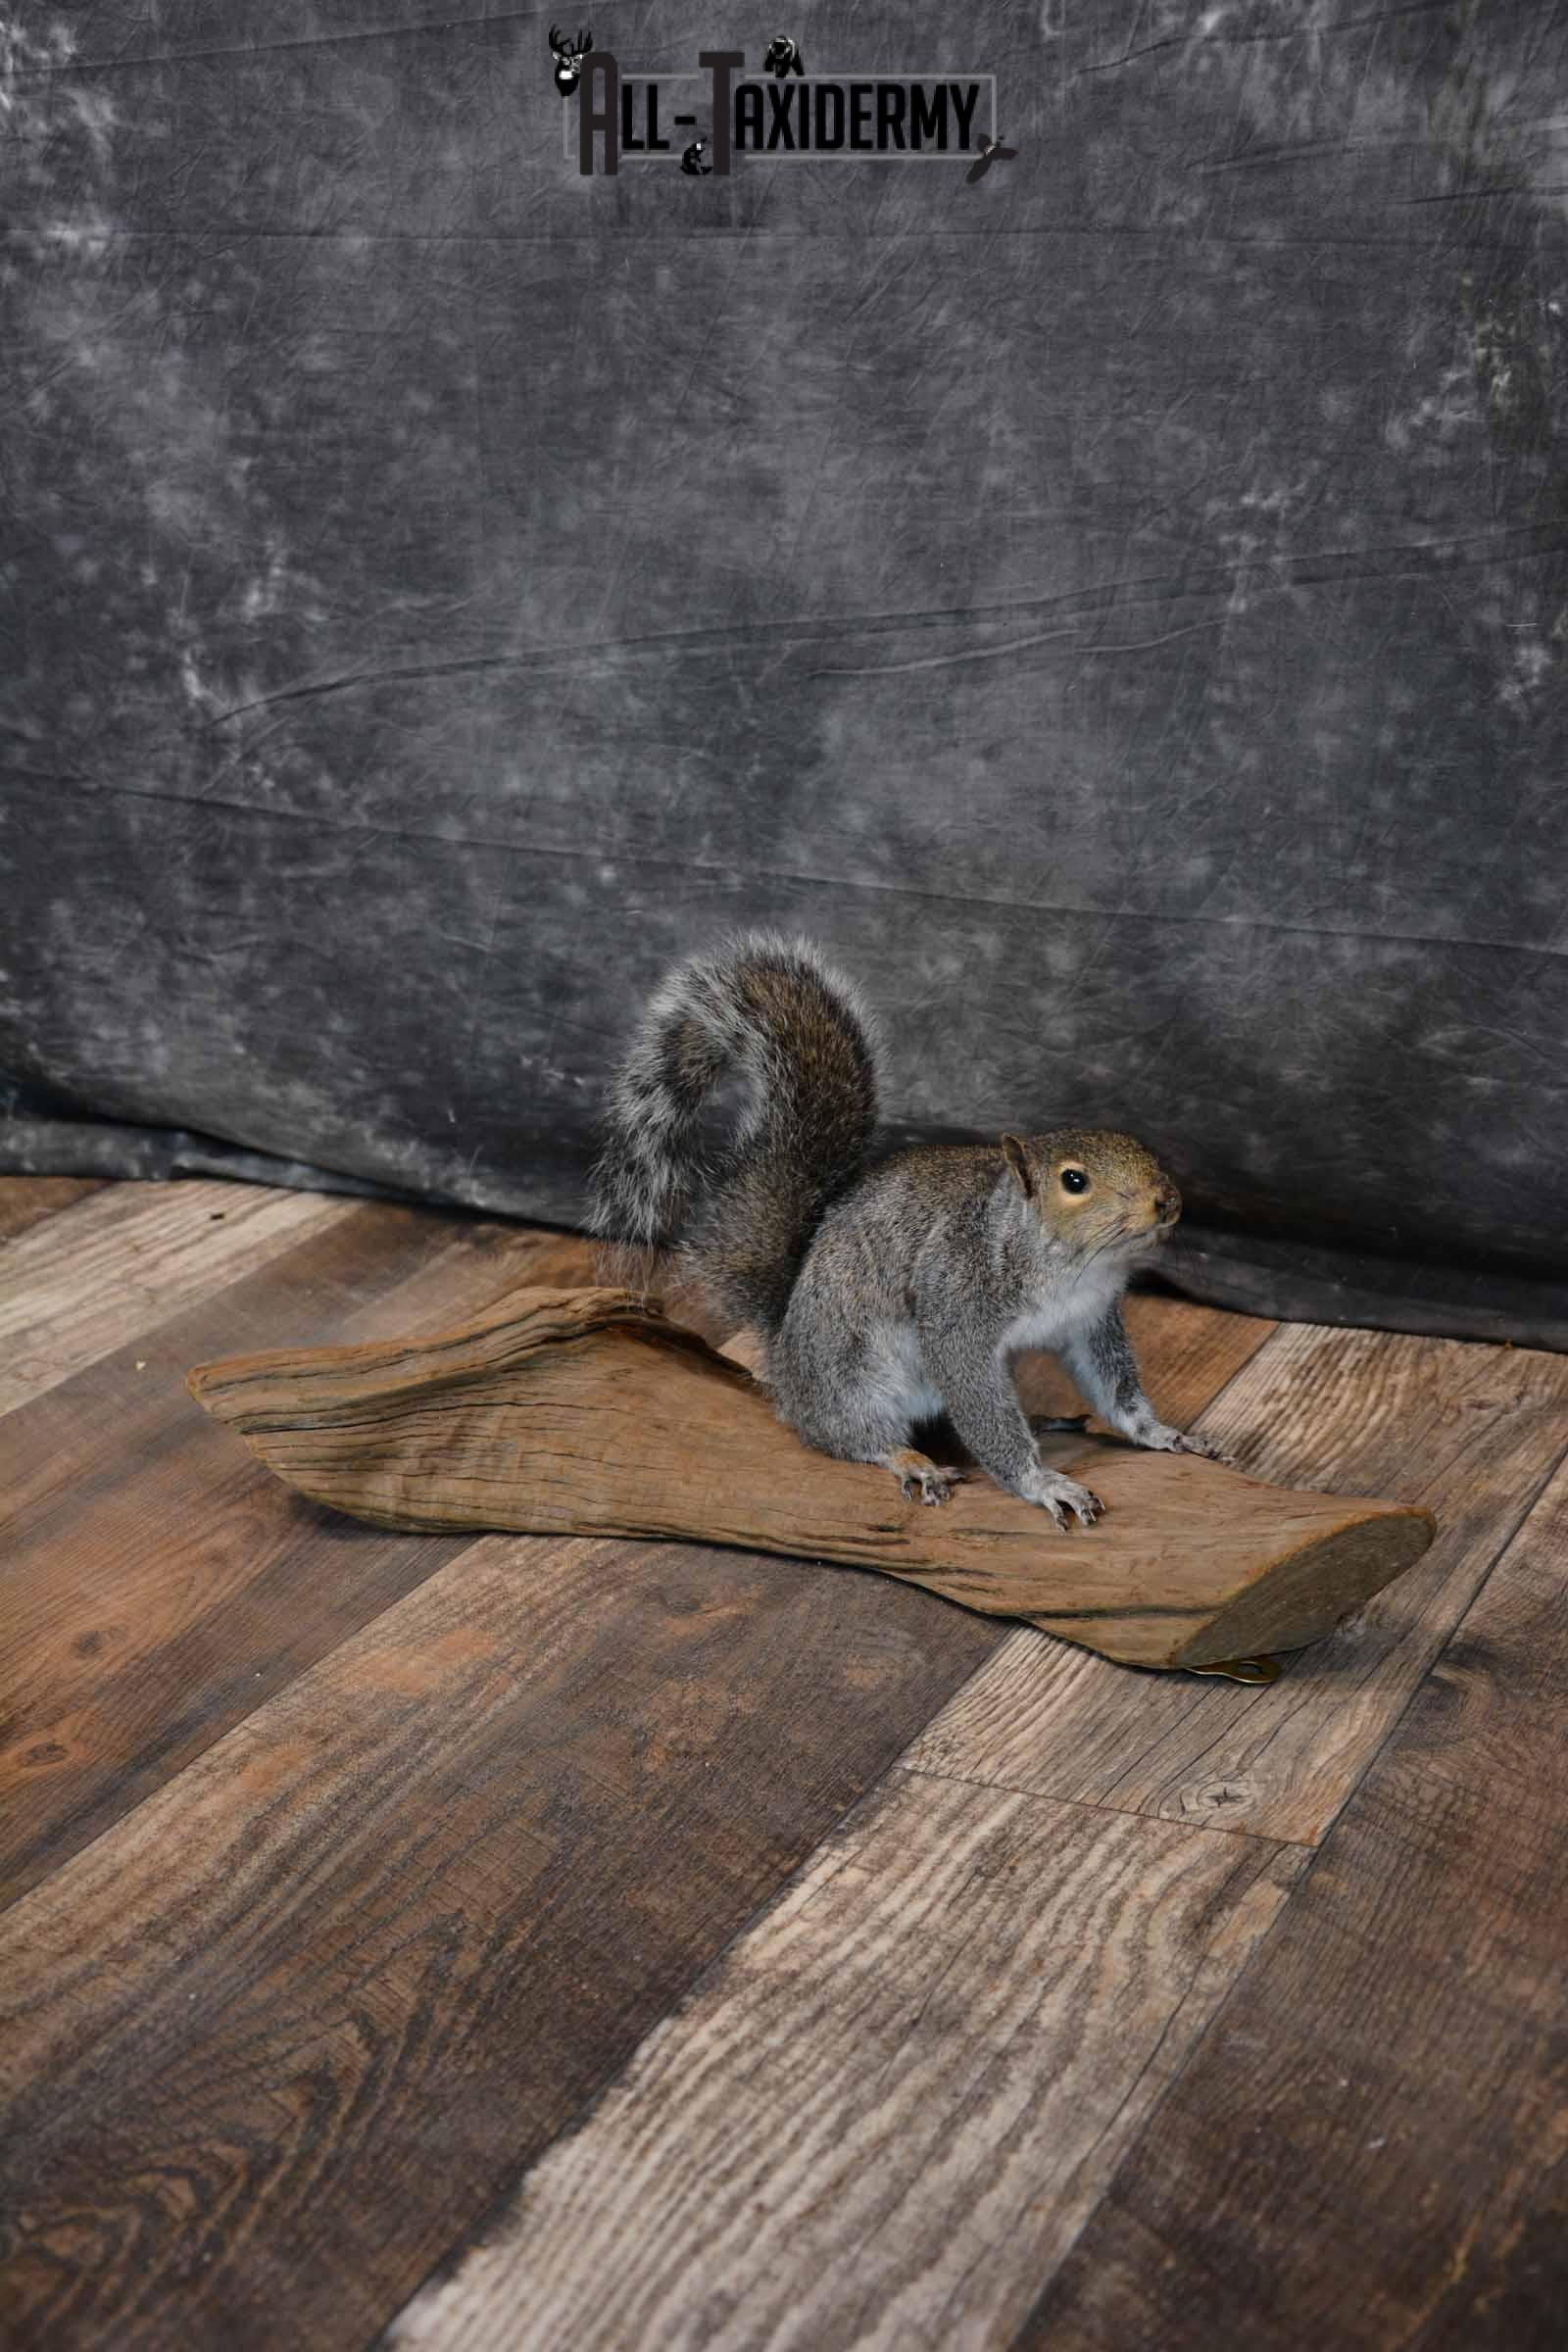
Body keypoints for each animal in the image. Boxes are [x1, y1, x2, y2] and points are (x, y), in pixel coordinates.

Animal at [587, 931, 1223, 1528]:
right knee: (847, 1434)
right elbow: (979, 1399)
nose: (1167, 1202)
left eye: (1143, 1148)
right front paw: (1042, 1482)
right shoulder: (959, 1305)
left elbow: (1115, 1388)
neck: (1065, 1264)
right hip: (853, 1372)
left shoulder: (1090, 1322)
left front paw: (1163, 1434)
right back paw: (907, 1458)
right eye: (1074, 1180)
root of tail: (786, 1352)